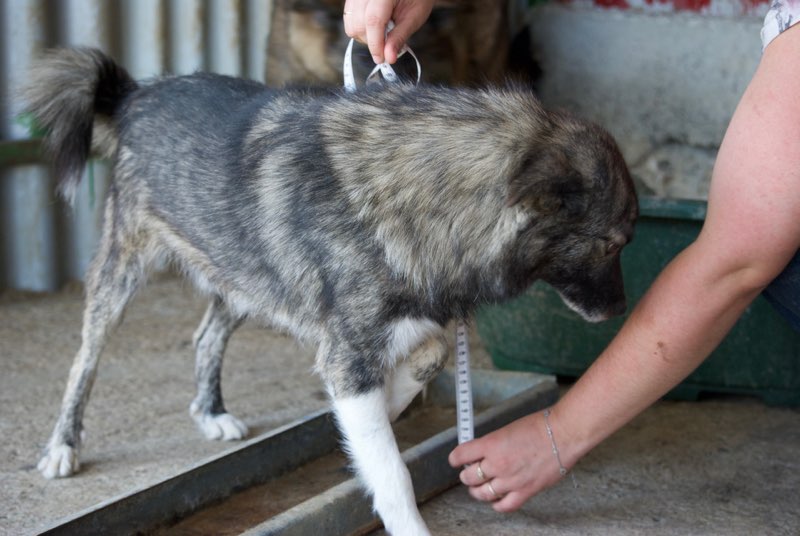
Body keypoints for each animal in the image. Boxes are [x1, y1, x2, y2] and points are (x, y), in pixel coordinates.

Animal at [23, 49, 636, 536]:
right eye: (612, 244)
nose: (621, 311)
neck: (420, 190)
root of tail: (136, 93)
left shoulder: (400, 325)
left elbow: (431, 355)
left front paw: (388, 407)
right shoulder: (348, 353)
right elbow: (391, 469)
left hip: (243, 277)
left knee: (205, 336)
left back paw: (211, 412)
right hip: (124, 269)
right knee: (85, 360)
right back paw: (63, 447)